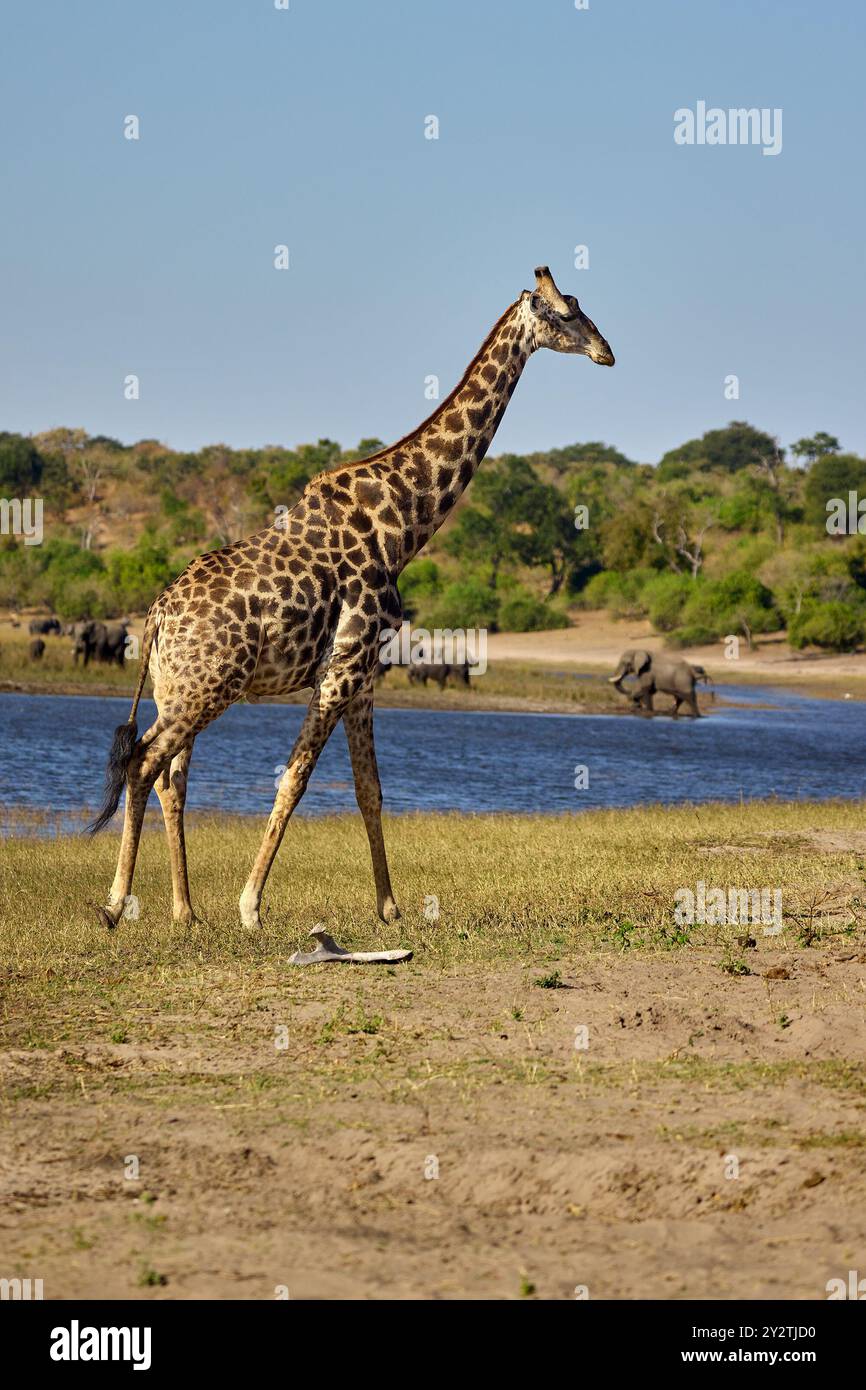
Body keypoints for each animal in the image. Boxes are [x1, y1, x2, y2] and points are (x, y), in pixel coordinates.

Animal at [91, 265, 614, 928]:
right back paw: (116, 904)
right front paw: (251, 906)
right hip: (207, 687)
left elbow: (370, 789)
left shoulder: (365, 673)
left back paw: (186, 912)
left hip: (178, 687)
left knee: (170, 775)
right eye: (568, 312)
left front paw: (390, 908)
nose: (606, 352)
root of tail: (156, 617)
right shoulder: (342, 667)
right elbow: (294, 780)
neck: (404, 524)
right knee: (144, 763)